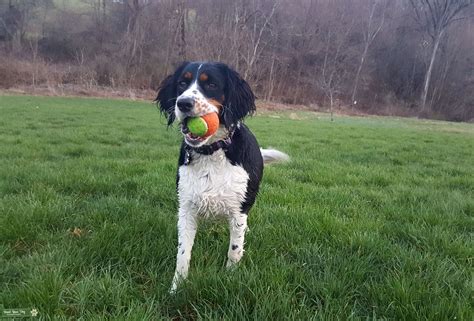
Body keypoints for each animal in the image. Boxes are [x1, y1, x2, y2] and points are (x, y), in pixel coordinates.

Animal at [156, 61, 288, 292]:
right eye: (182, 82)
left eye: (212, 84)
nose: (183, 103)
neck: (212, 152)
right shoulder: (187, 208)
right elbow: (183, 253)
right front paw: (176, 287)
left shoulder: (238, 212)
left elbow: (234, 249)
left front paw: (230, 277)